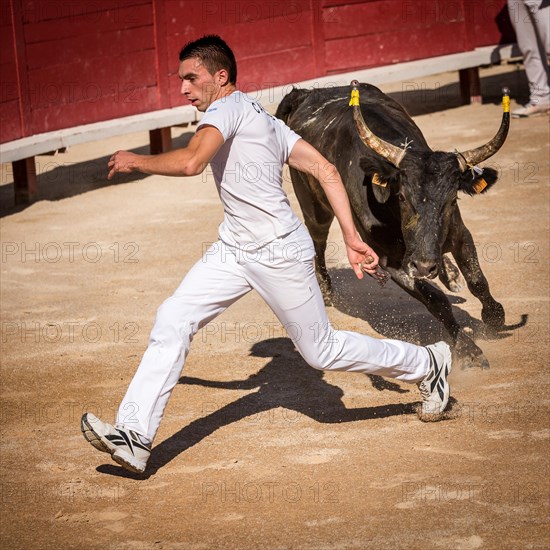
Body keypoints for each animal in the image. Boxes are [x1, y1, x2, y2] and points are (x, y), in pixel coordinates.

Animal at [276, 82, 512, 368]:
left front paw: (494, 316)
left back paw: (449, 273)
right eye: (402, 197)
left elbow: (477, 279)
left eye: (452, 199)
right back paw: (326, 290)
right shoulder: (390, 260)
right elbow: (436, 300)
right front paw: (469, 350)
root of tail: (305, 93)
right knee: (318, 241)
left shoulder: (459, 234)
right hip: (314, 208)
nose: (424, 266)